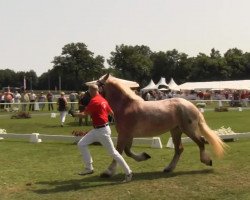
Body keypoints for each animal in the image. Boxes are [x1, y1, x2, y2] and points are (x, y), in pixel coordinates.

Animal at [95, 74, 227, 177]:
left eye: (97, 84)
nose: (89, 97)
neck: (126, 107)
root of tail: (192, 106)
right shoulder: (128, 135)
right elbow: (127, 151)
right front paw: (144, 156)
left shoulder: (124, 134)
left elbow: (118, 152)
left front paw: (108, 172)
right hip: (176, 131)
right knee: (179, 149)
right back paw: (169, 168)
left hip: (189, 129)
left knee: (201, 142)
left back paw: (207, 161)